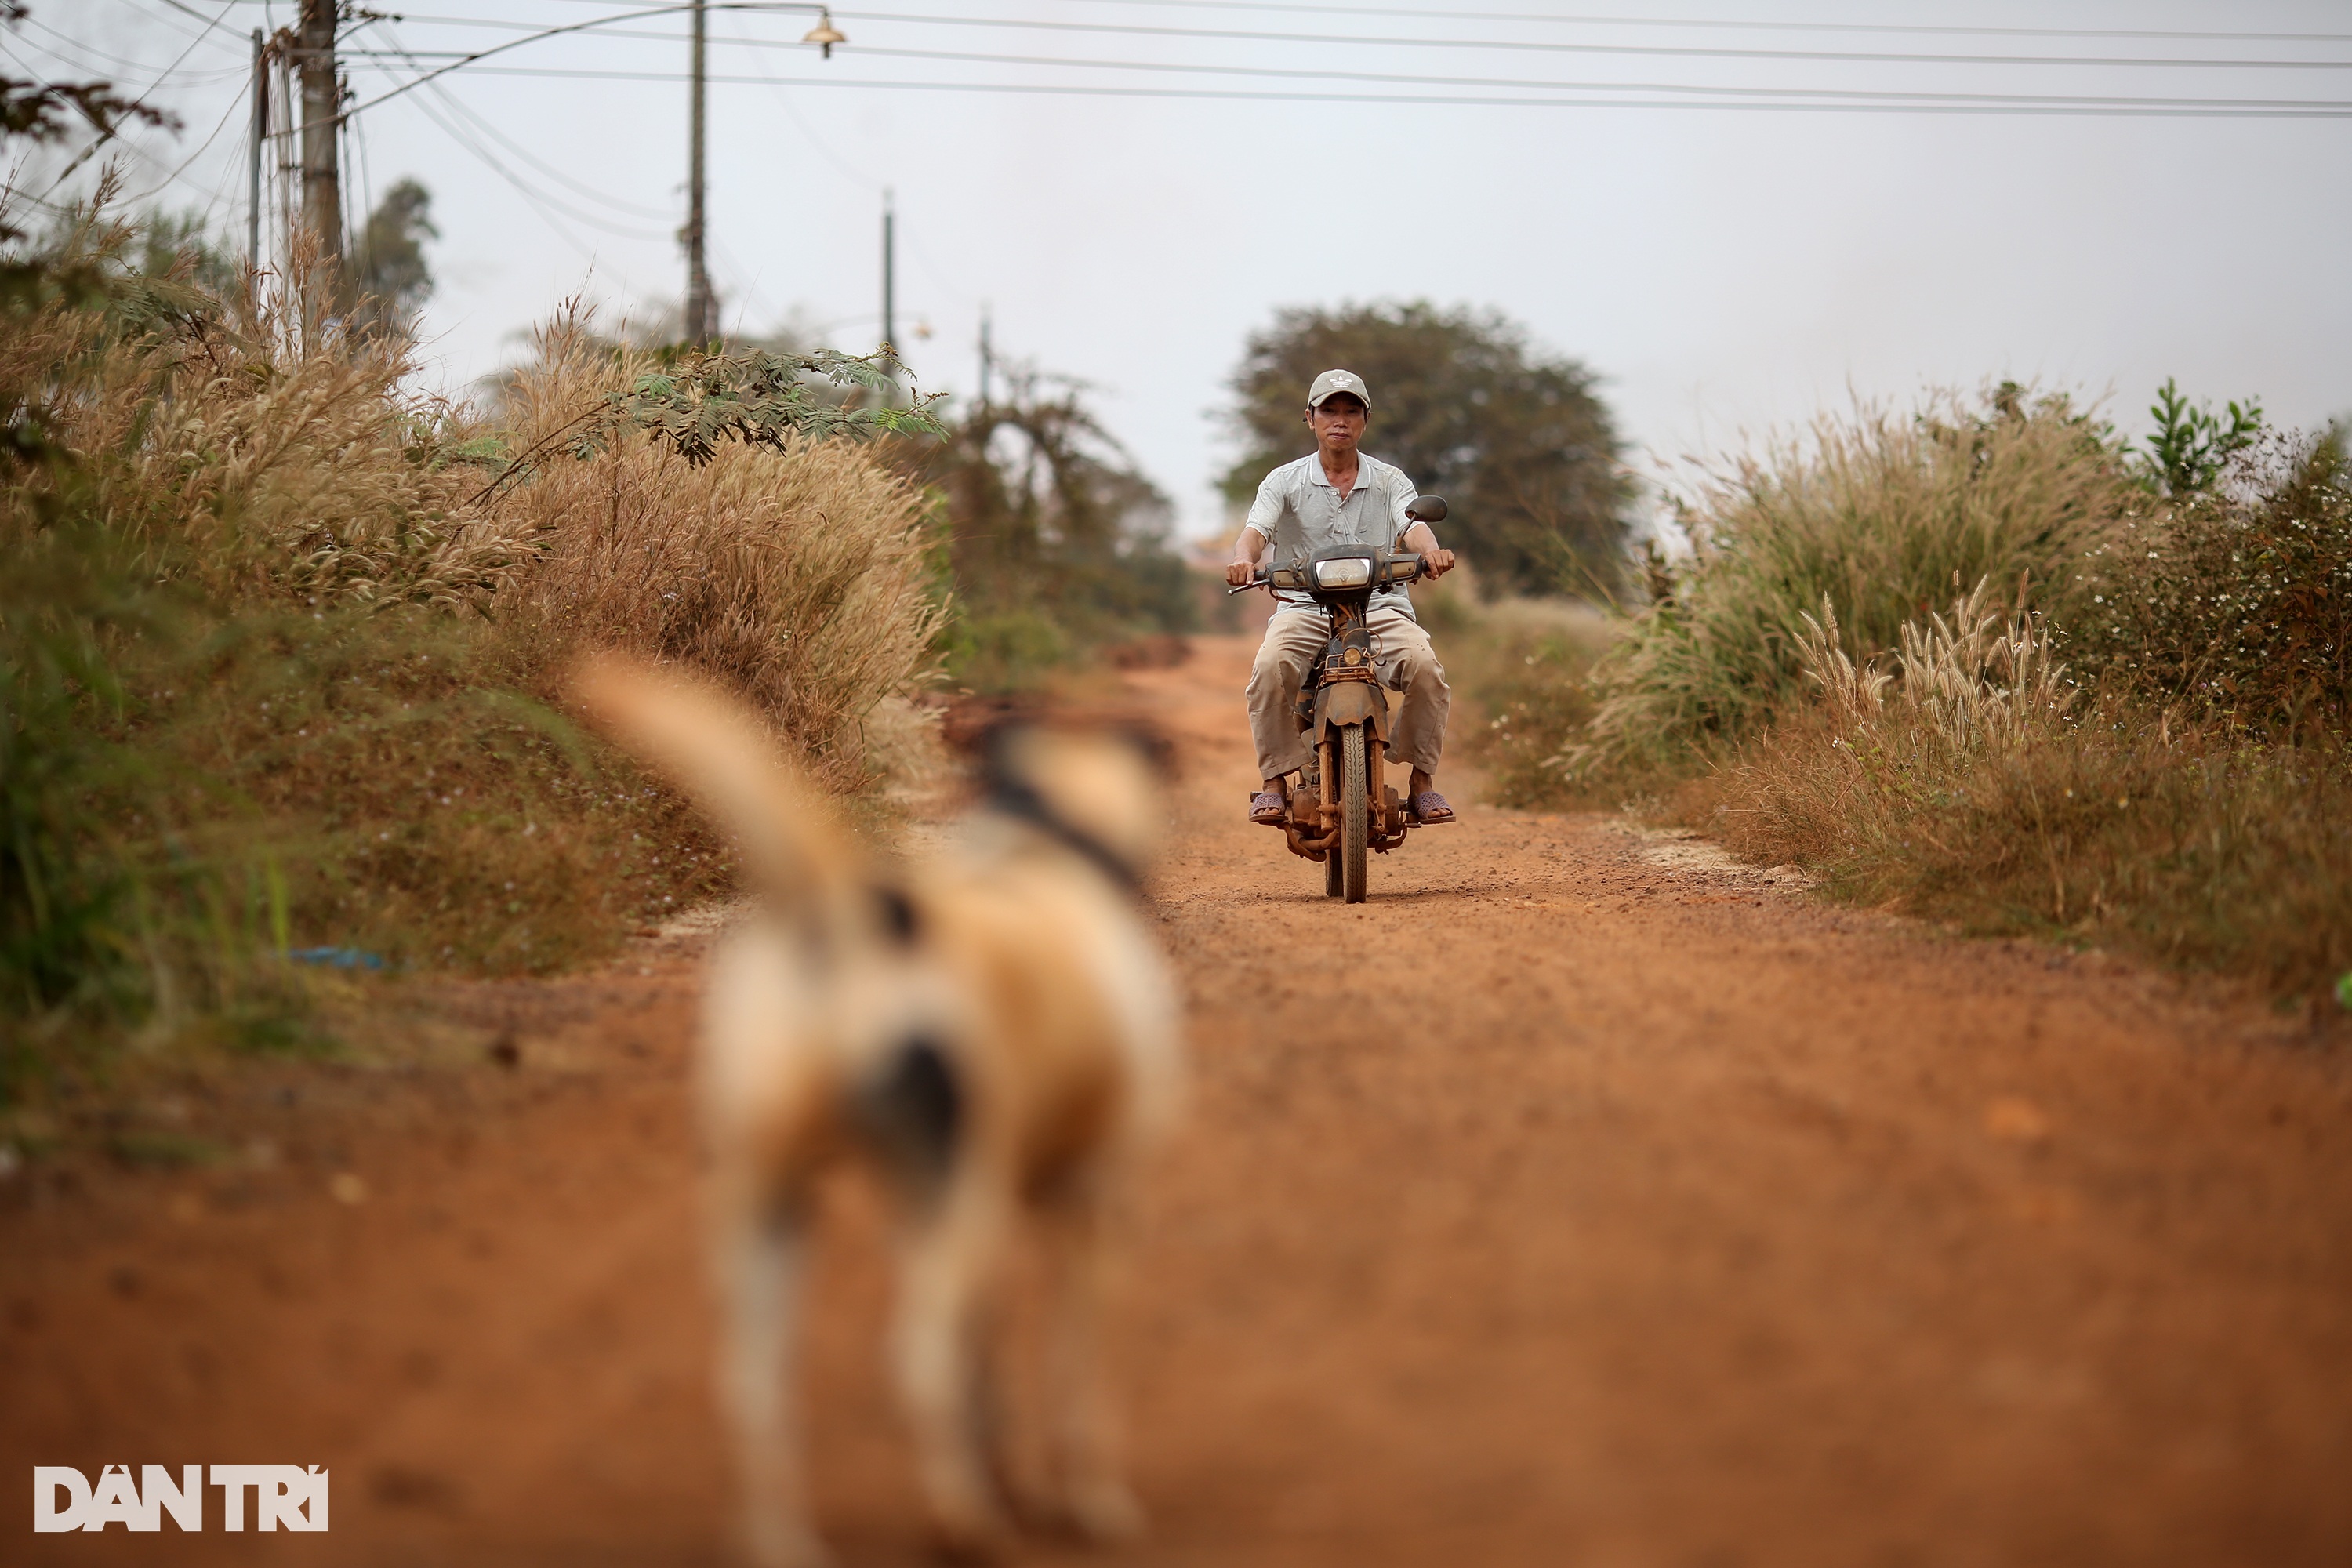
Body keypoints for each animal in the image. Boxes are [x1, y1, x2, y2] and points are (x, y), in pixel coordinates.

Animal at [579, 653, 1185, 1568]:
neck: (1048, 851)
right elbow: (1071, 1375)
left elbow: (987, 1367)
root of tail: (848, 918)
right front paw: (1084, 1501)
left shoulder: (930, 1208)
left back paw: (788, 1542)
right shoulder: (1089, 1204)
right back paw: (960, 1523)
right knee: (914, 1359)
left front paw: (1012, 1476)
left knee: (754, 1386)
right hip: (956, 1217)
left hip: (777, 1210)